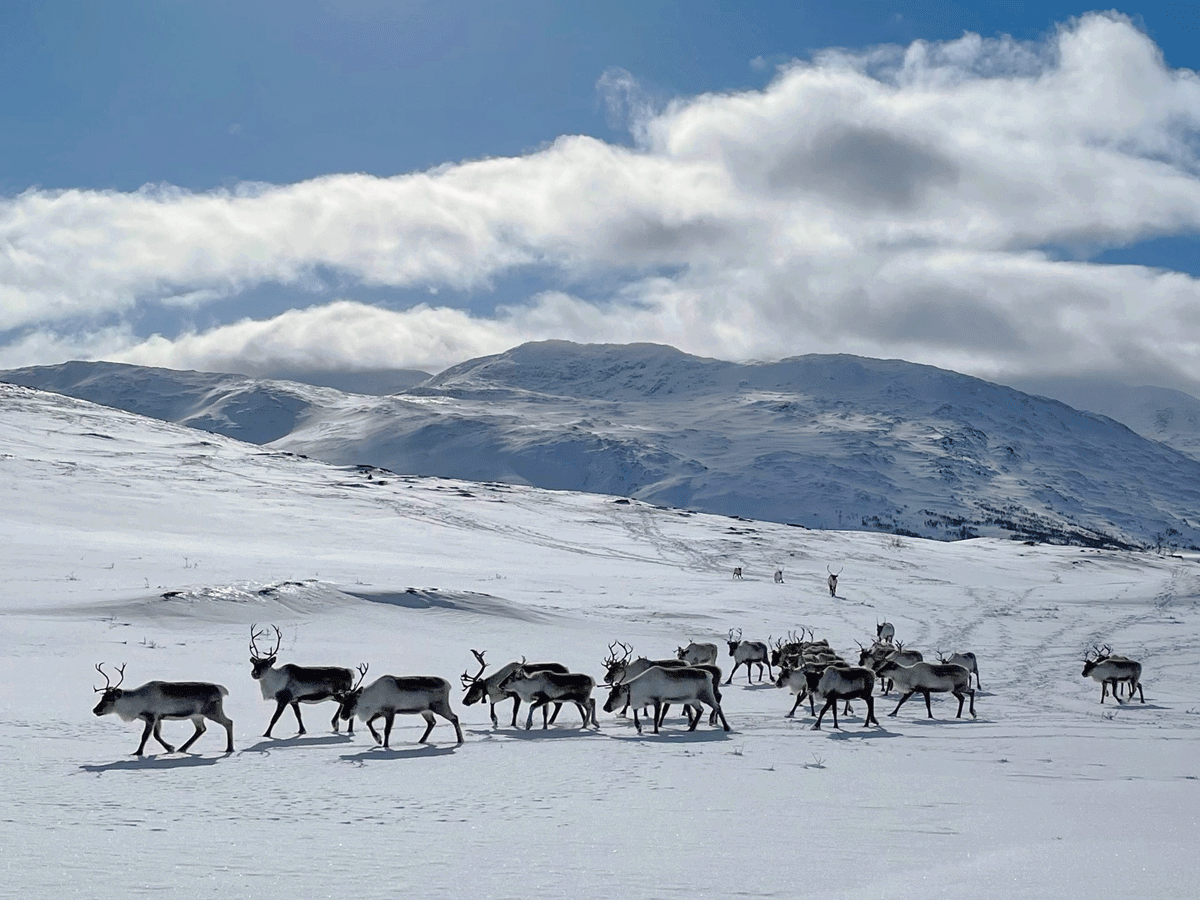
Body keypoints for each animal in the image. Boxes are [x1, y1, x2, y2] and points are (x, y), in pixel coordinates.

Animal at [92, 663, 234, 756]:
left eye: (110, 699)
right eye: (103, 696)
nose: (95, 710)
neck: (136, 702)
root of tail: (221, 689)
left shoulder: (151, 716)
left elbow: (145, 736)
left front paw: (138, 752)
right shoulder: (158, 717)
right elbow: (156, 735)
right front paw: (170, 748)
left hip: (212, 711)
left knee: (229, 722)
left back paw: (229, 749)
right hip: (196, 716)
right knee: (201, 729)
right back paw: (182, 749)